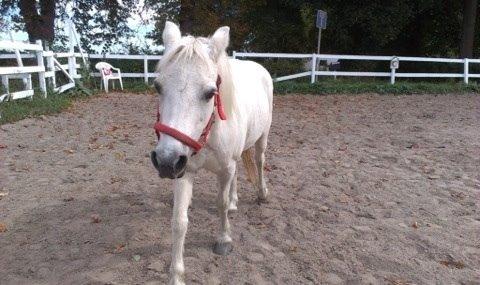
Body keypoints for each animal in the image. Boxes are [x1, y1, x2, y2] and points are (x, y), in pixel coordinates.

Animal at [150, 22, 274, 284]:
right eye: (158, 87)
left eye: (210, 93)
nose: (165, 161)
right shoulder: (183, 170)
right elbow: (179, 221)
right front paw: (176, 275)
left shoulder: (223, 168)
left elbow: (221, 203)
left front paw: (224, 239)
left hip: (262, 137)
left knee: (259, 161)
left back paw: (261, 194)